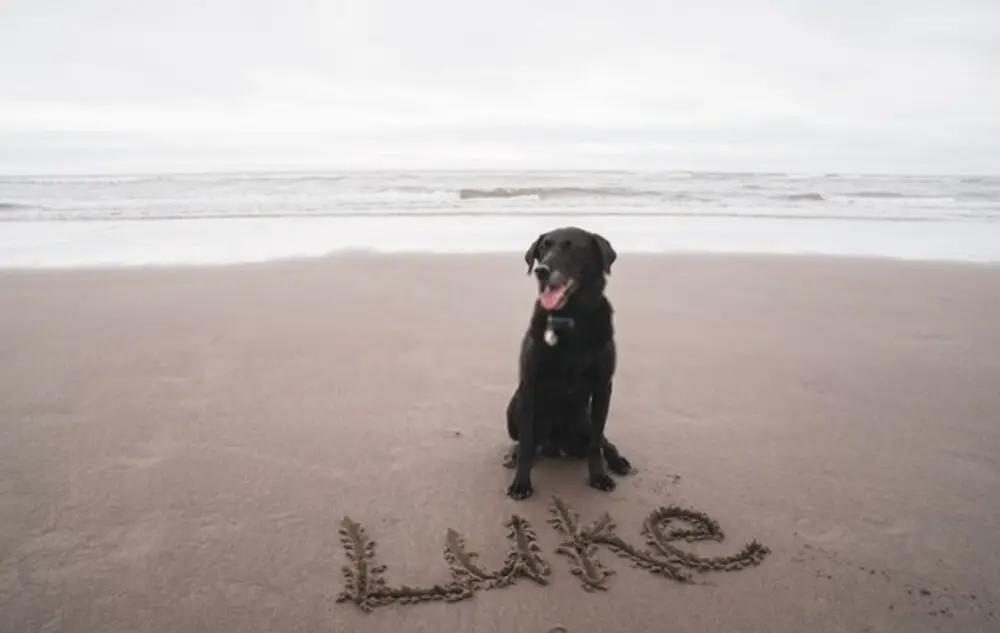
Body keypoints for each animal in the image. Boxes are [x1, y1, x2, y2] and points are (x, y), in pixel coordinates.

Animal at [508, 227, 632, 498]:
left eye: (571, 247)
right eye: (544, 247)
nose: (541, 270)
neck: (570, 318)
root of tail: (559, 447)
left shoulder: (603, 387)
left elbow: (597, 442)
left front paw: (599, 476)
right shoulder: (528, 387)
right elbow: (526, 444)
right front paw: (521, 482)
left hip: (585, 418)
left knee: (603, 440)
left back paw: (618, 461)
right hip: (513, 407)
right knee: (526, 442)